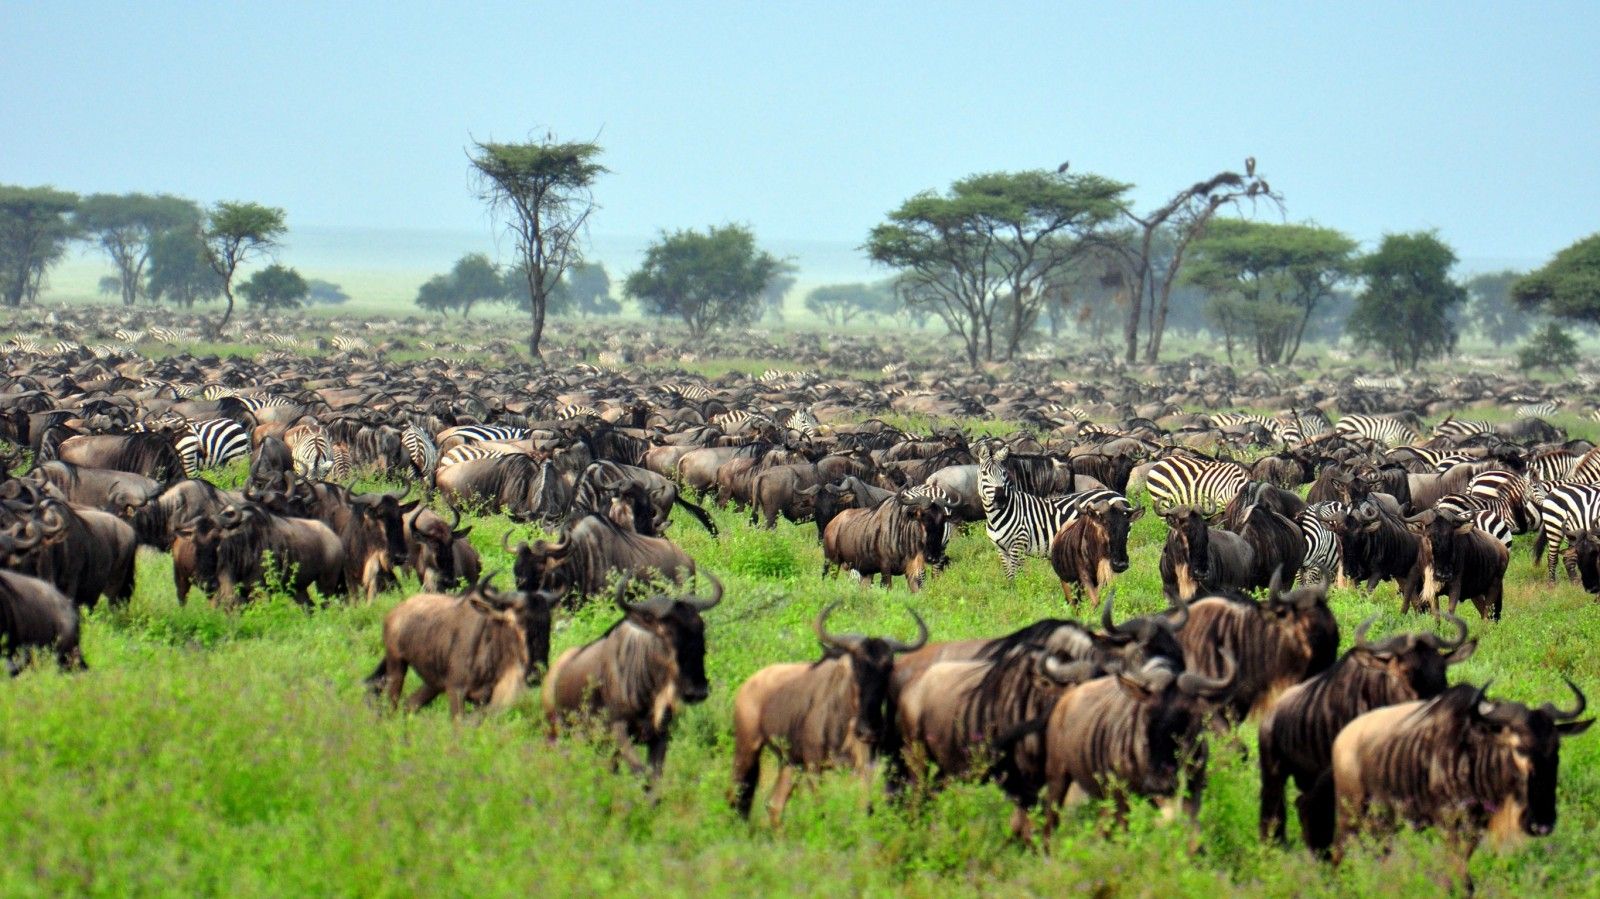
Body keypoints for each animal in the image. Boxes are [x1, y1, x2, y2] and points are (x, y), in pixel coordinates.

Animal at [972, 441, 1139, 582]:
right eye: (984, 474)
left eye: (1004, 474)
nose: (1000, 499)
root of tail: (1117, 495)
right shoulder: (1001, 549)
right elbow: (1009, 577)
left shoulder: (1018, 545)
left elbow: (1016, 577)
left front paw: (1019, 593)